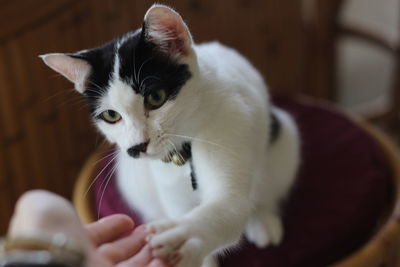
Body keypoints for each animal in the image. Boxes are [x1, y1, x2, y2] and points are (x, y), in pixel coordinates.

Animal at [41, 4, 300, 267]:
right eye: (111, 115)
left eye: (156, 98)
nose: (136, 147)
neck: (184, 149)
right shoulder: (167, 186)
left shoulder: (230, 123)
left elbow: (229, 207)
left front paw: (185, 235)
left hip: (283, 138)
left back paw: (263, 218)